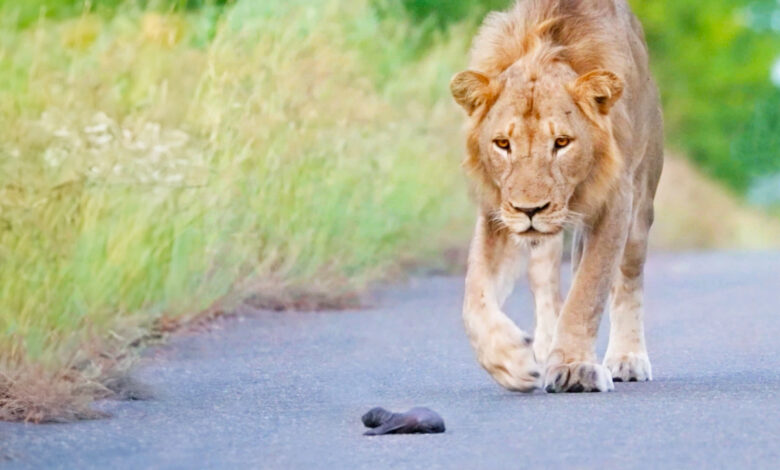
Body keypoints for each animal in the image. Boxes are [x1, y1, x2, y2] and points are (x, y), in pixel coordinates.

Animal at [450, 0, 663, 393]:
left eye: (562, 142)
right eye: (502, 143)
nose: (530, 209)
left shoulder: (617, 199)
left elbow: (588, 290)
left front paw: (574, 367)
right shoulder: (497, 211)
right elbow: (475, 297)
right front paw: (510, 360)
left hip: (641, 207)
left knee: (627, 277)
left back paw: (626, 358)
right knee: (544, 280)